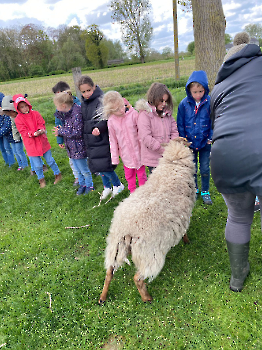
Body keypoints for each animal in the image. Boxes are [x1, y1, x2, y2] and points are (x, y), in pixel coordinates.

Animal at [99, 138, 195, 302]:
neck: (173, 166)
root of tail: (125, 229)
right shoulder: (182, 218)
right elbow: (184, 233)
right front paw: (187, 242)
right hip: (149, 253)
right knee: (138, 278)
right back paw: (147, 299)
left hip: (115, 247)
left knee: (109, 272)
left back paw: (102, 297)